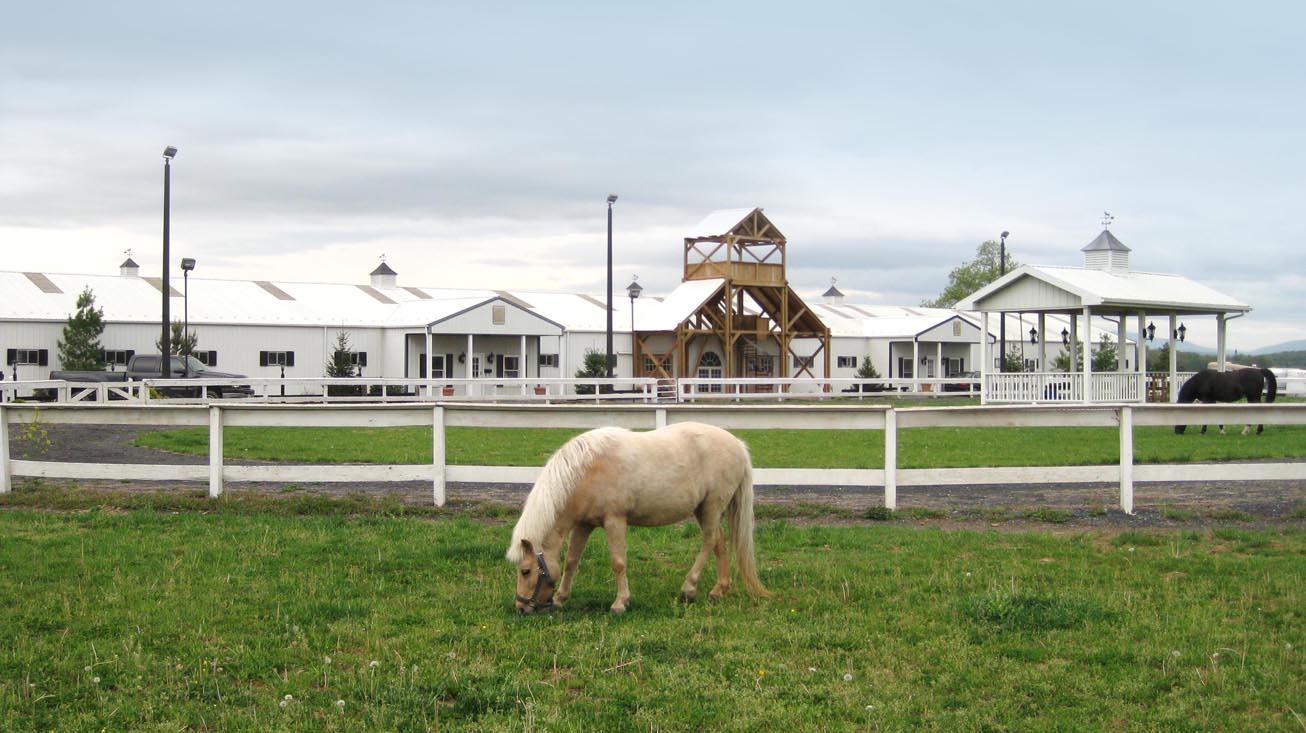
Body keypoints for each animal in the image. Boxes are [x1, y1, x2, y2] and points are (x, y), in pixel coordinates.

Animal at [501, 420, 762, 614]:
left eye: (526, 571)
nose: (521, 607)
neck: (586, 471)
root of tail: (738, 445)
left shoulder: (614, 521)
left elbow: (618, 562)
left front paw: (620, 603)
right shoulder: (584, 524)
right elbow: (572, 561)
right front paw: (561, 598)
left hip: (711, 506)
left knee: (709, 541)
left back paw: (688, 588)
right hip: (705, 510)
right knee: (720, 541)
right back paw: (719, 590)